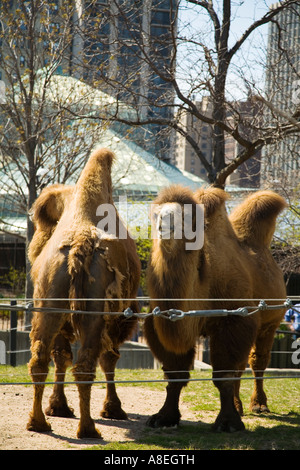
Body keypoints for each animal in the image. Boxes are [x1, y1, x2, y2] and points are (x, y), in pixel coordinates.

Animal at [26, 149, 141, 438]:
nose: (33, 248)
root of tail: (79, 244)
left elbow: (61, 357)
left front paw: (57, 407)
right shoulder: (115, 318)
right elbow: (109, 358)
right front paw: (113, 409)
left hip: (49, 302)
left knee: (40, 360)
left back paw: (38, 422)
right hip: (93, 311)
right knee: (87, 364)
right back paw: (88, 429)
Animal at [145, 185, 286, 434]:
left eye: (186, 217)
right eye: (156, 214)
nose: (164, 224)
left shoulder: (233, 321)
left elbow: (224, 376)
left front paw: (228, 423)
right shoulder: (161, 322)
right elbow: (174, 373)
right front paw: (164, 417)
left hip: (271, 322)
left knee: (258, 361)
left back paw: (259, 405)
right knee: (242, 365)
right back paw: (240, 406)